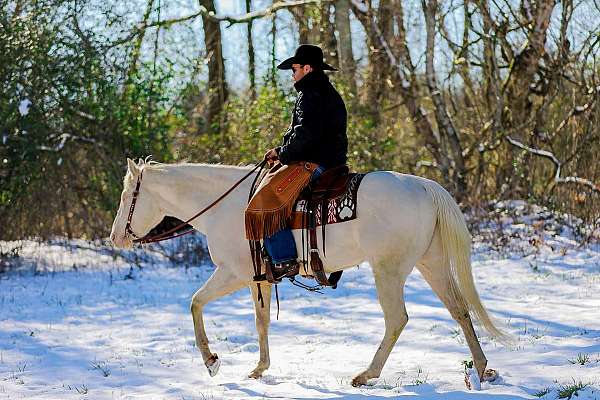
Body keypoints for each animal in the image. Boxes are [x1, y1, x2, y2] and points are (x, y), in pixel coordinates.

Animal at [110, 158, 504, 386]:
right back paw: (483, 368)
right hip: (431, 263)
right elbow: (261, 322)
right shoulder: (258, 279)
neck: (225, 206)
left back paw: (367, 374)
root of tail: (422, 186)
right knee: (459, 310)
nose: (115, 237)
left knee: (397, 319)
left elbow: (195, 303)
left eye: (128, 195)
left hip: (388, 270)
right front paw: (259, 368)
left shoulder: (233, 273)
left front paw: (211, 361)